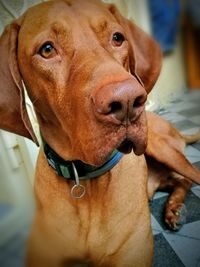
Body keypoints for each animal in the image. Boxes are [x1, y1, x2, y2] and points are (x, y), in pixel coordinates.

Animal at [0, 0, 200, 267]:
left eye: (117, 38)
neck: (86, 181)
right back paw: (172, 208)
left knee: (190, 176)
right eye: (47, 49)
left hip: (161, 147)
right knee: (179, 181)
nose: (127, 102)